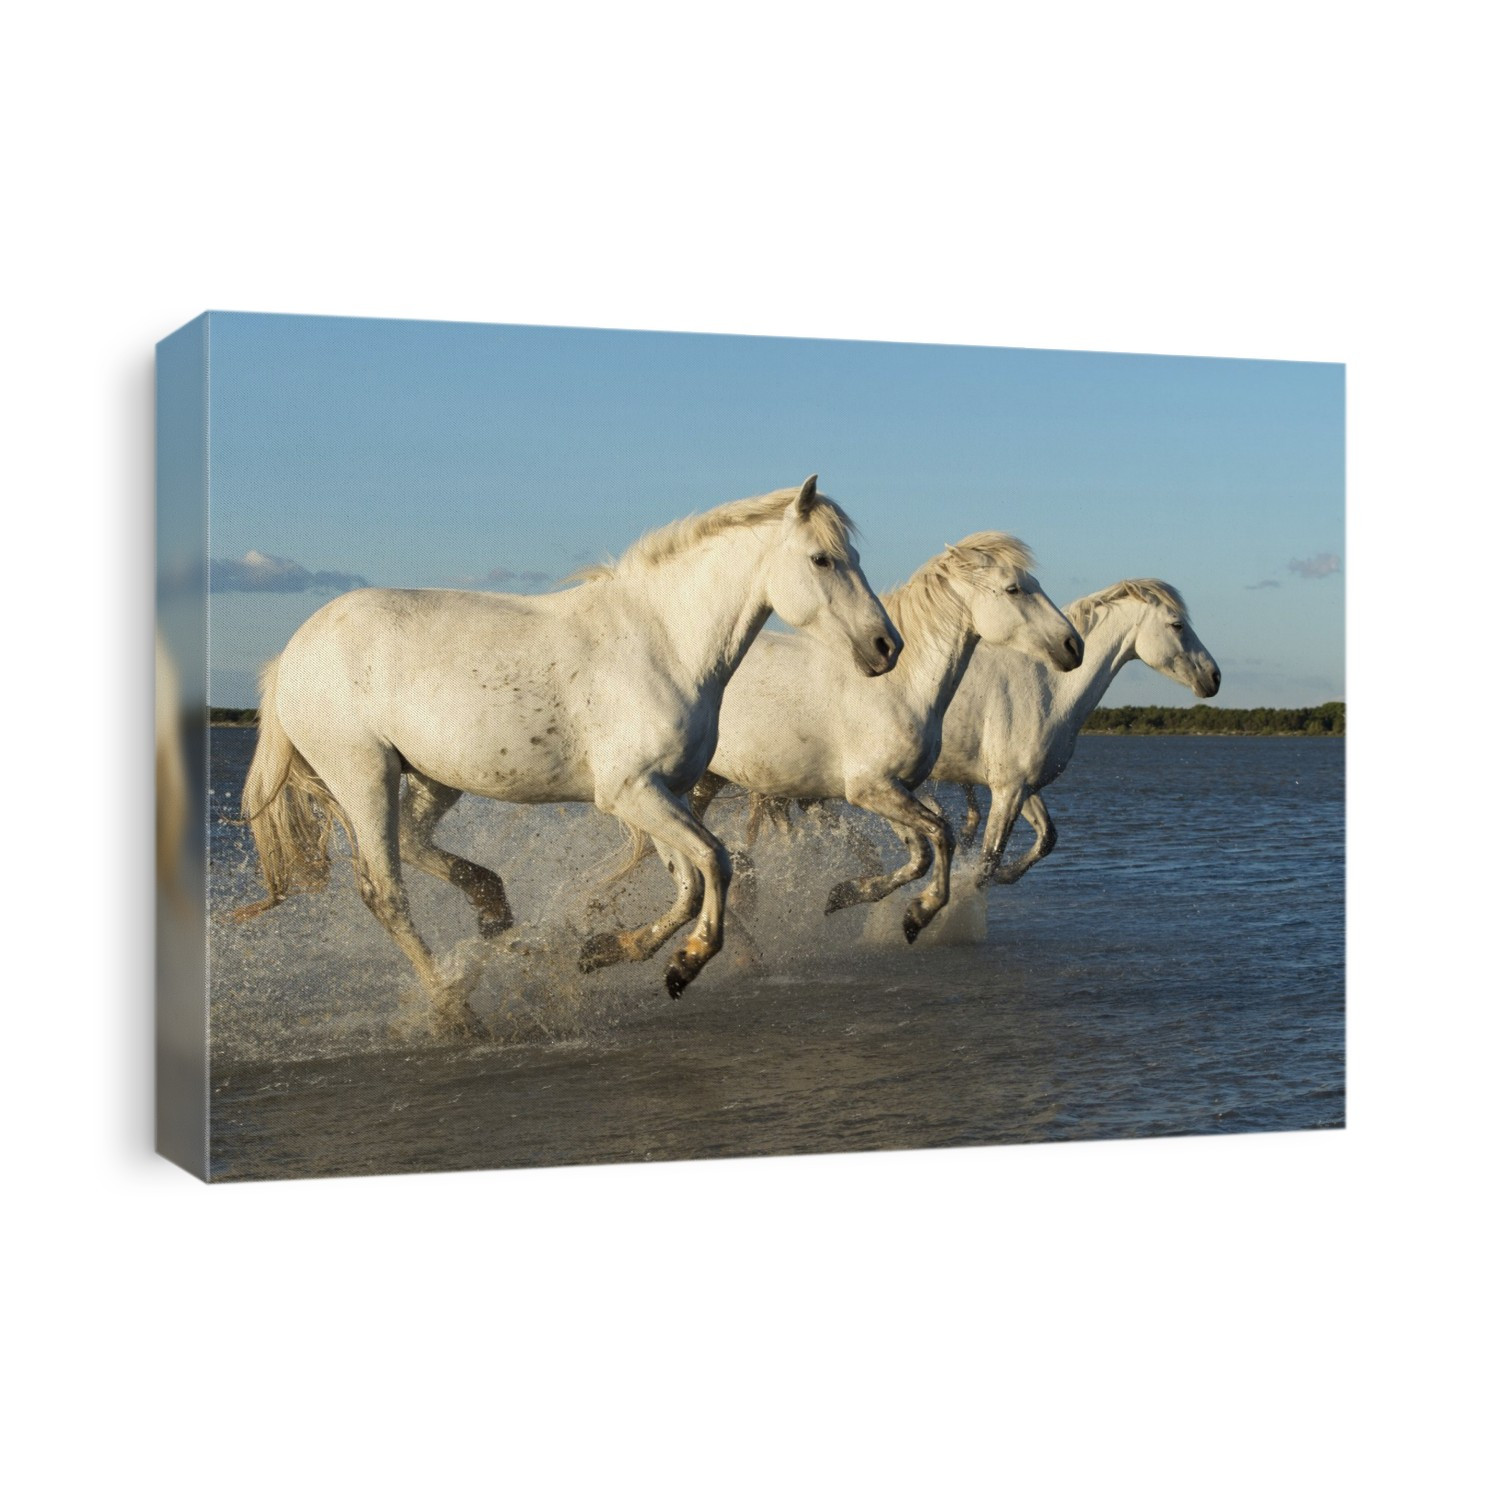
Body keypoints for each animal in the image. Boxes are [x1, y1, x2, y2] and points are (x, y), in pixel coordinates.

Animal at [232, 477, 900, 1035]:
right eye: (823, 559)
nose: (886, 646)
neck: (663, 641)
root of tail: (290, 655)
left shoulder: (663, 794)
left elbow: (688, 883)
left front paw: (606, 950)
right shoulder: (632, 792)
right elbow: (715, 863)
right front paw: (683, 964)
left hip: (432, 777)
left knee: (419, 847)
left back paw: (498, 921)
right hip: (363, 774)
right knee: (385, 893)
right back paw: (457, 1010)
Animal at [683, 535, 1083, 942]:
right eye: (1014, 588)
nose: (1073, 646)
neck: (900, 685)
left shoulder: (893, 789)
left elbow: (919, 855)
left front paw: (846, 895)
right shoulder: (871, 789)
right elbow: (942, 835)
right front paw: (918, 913)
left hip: (708, 782)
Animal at [934, 578, 1220, 884]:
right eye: (1177, 625)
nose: (1214, 677)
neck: (1050, 688)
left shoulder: (1023, 787)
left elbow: (1046, 838)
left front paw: (1006, 875)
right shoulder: (1008, 789)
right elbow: (987, 862)